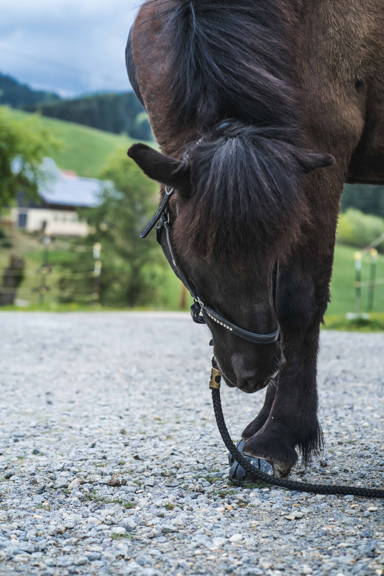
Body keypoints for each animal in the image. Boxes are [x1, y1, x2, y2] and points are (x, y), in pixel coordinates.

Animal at [126, 0, 384, 476]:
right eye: (195, 253)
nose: (252, 373)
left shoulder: (321, 162)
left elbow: (298, 302)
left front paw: (277, 435)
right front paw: (262, 423)